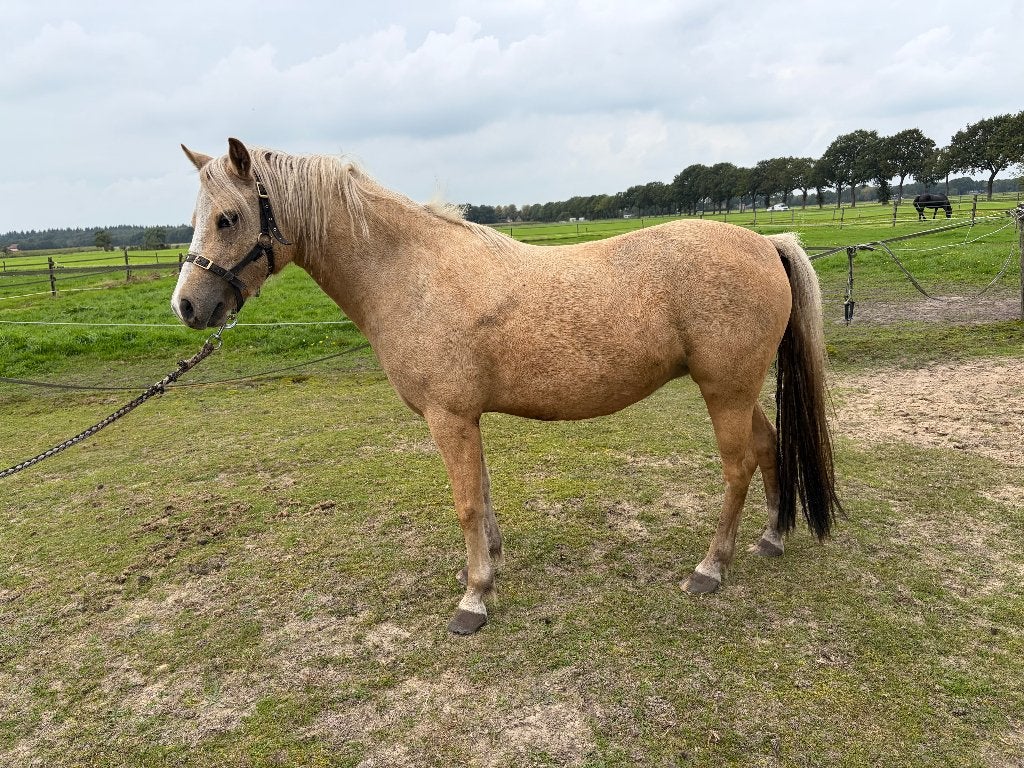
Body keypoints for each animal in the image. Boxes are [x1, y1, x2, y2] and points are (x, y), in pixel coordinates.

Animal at [171, 138, 842, 635]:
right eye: (197, 219)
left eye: (229, 218)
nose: (187, 306)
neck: (410, 273)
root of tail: (766, 242)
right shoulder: (466, 418)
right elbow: (485, 498)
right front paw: (489, 570)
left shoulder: (448, 417)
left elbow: (467, 503)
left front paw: (473, 601)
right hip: (739, 390)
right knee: (768, 447)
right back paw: (771, 538)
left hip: (725, 390)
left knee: (738, 467)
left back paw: (710, 568)